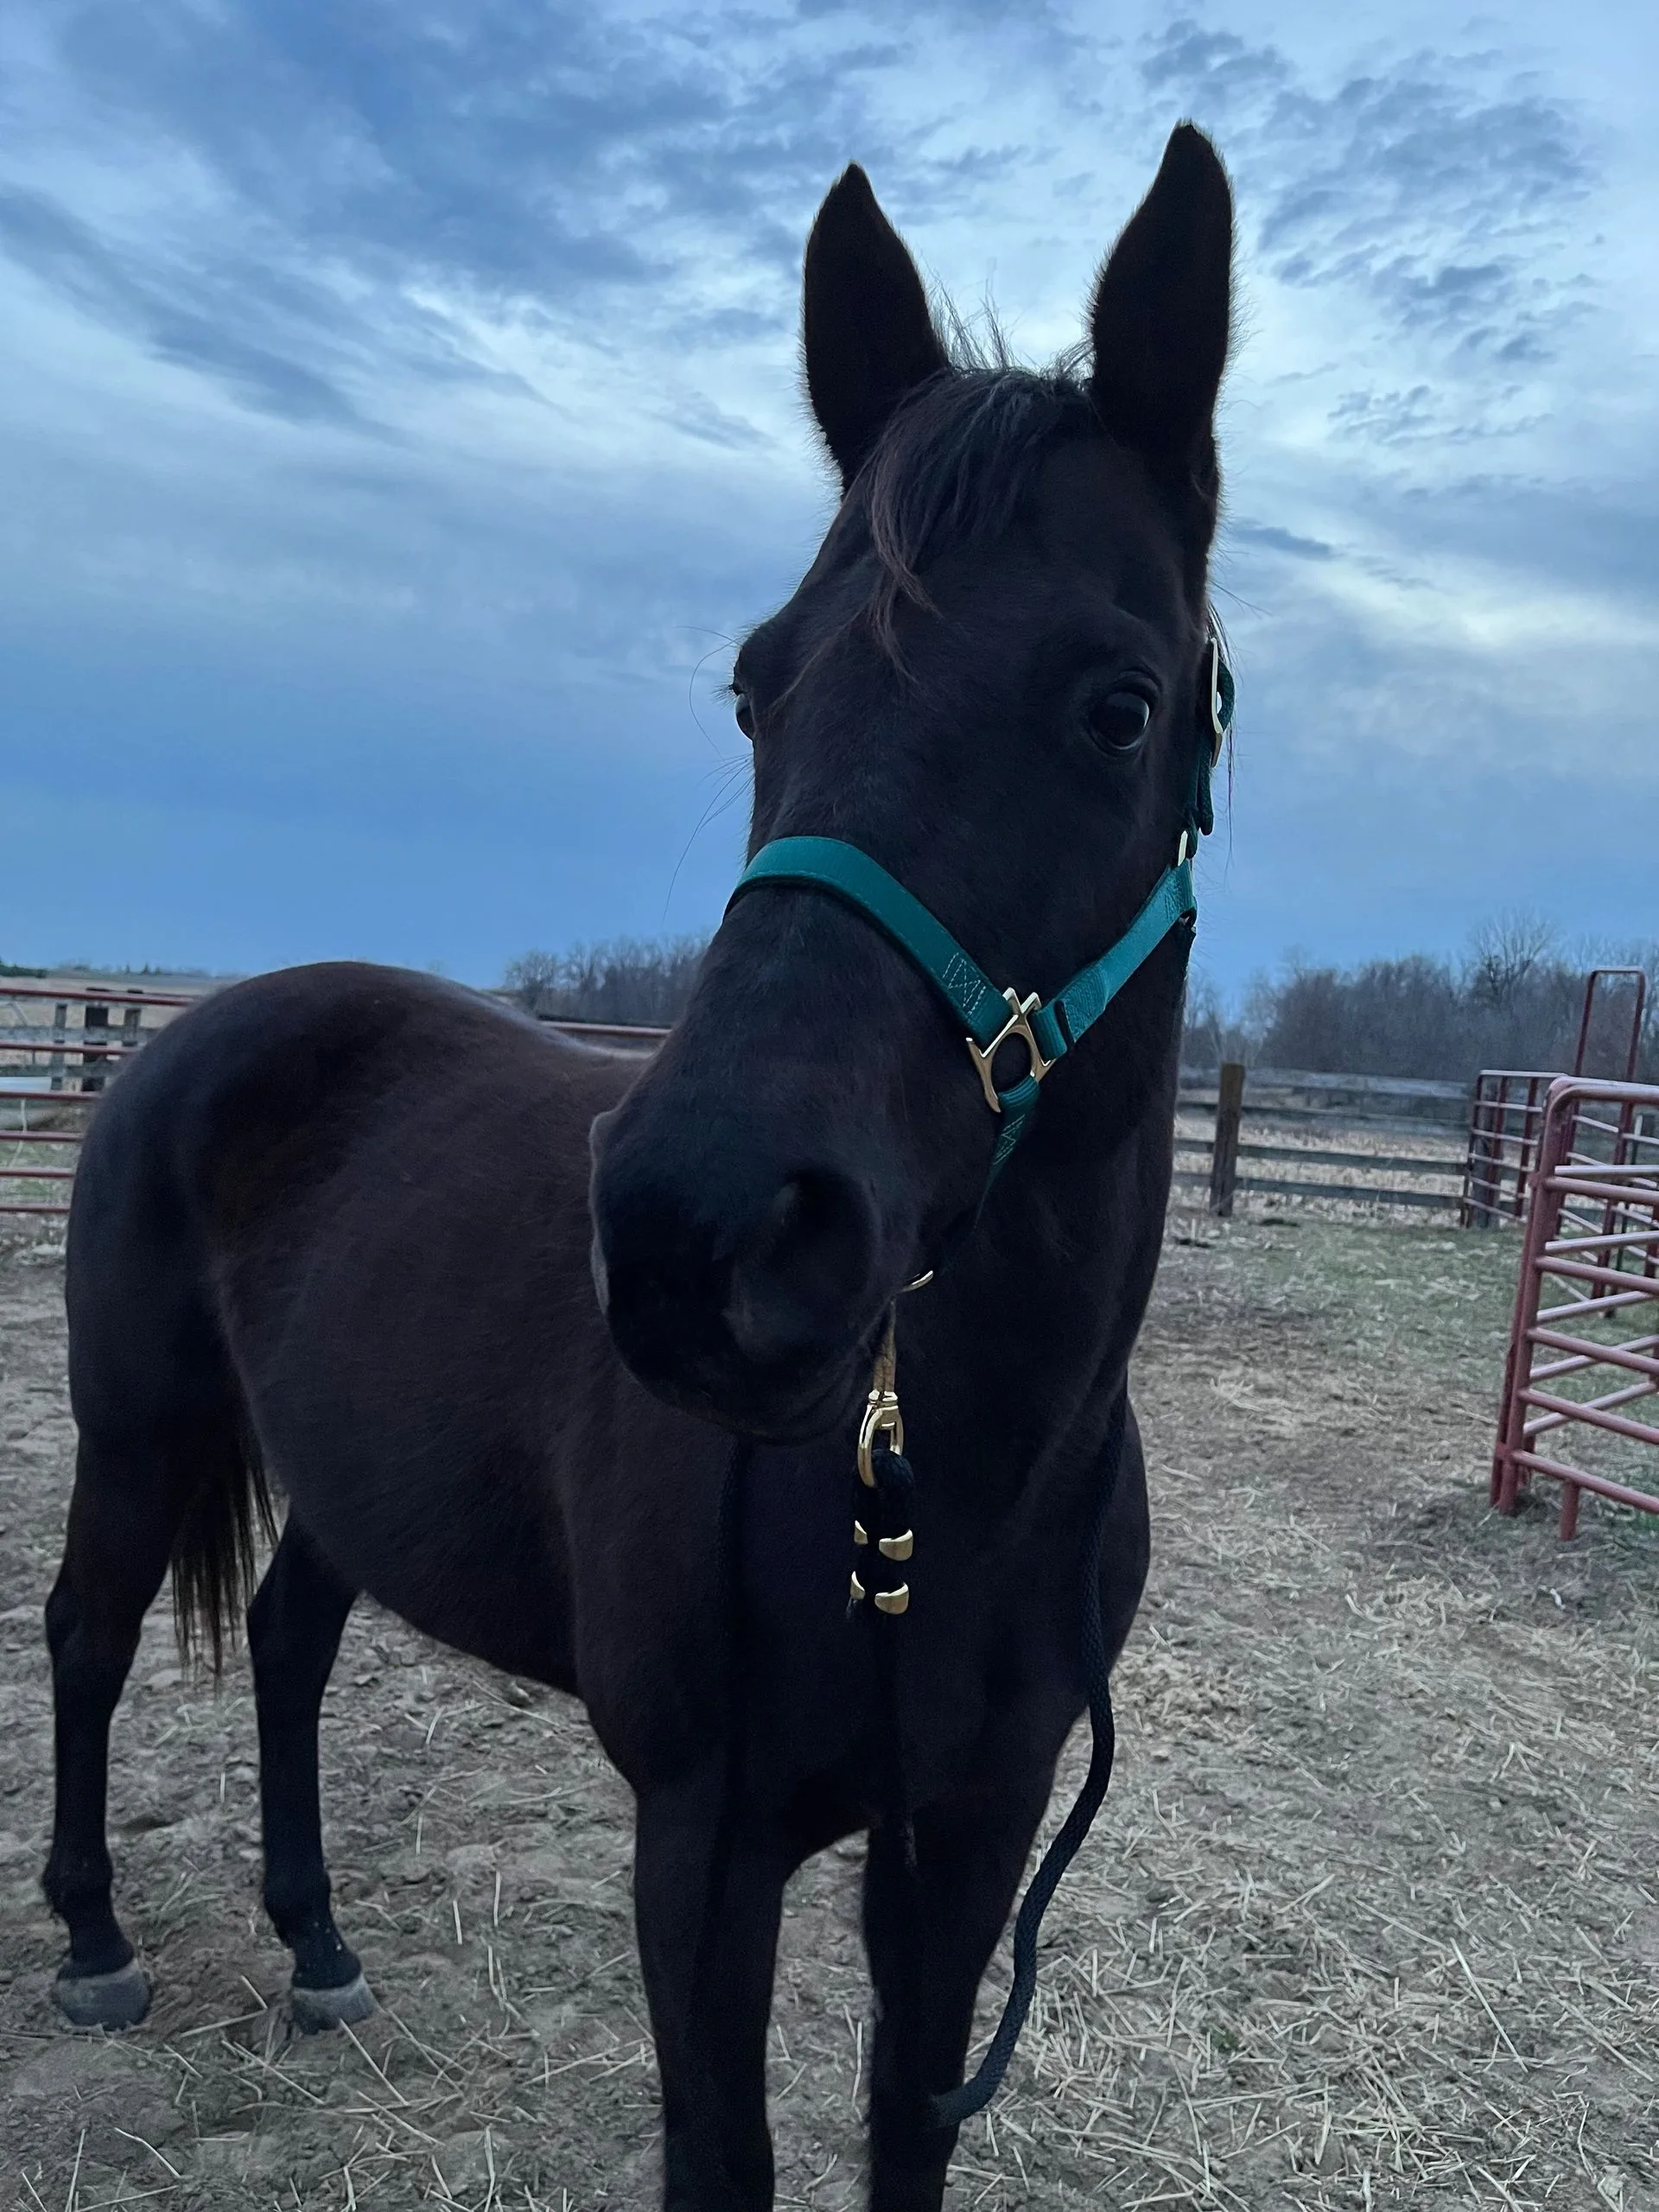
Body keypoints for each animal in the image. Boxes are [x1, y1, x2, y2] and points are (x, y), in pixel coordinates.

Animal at [42, 123, 1234, 2211]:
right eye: (761, 686)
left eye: (1122, 703)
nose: (700, 1234)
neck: (954, 1488)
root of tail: (177, 1032)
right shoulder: (704, 1843)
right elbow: (719, 2160)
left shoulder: (965, 1851)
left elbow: (905, 2141)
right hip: (139, 1429)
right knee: (88, 1637)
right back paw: (97, 1943)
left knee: (283, 1636)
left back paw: (319, 1945)